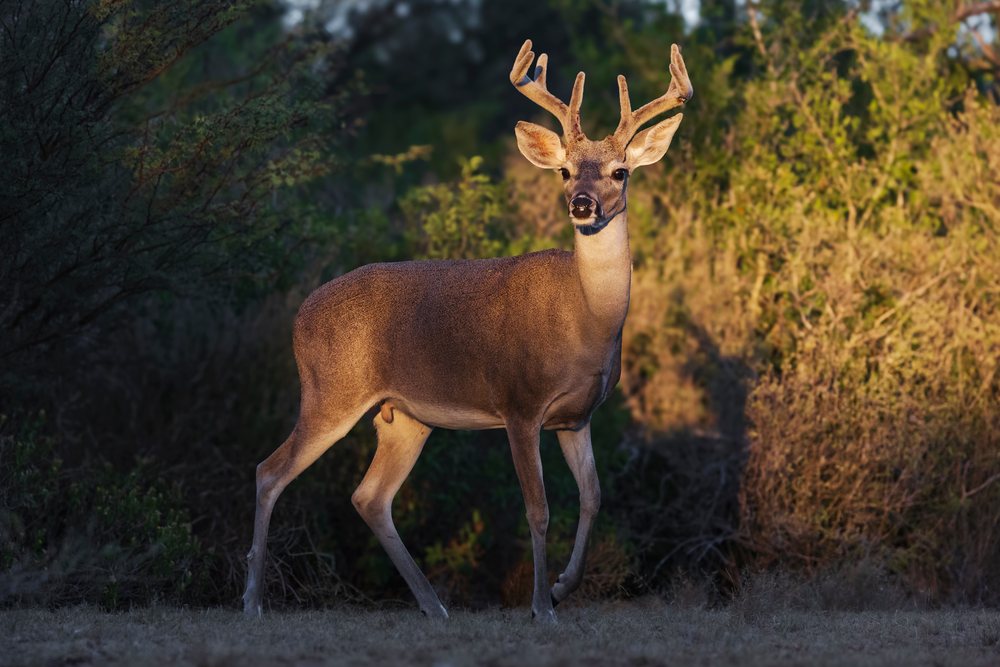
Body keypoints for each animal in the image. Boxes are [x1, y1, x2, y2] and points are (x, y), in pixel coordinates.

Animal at [242, 38, 692, 624]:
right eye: (566, 171)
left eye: (620, 172)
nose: (583, 205)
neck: (586, 322)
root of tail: (300, 315)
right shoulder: (519, 403)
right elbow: (538, 508)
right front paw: (541, 607)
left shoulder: (578, 416)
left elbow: (594, 498)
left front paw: (561, 589)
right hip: (330, 392)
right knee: (269, 471)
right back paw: (252, 602)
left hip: (405, 417)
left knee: (370, 496)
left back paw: (435, 606)